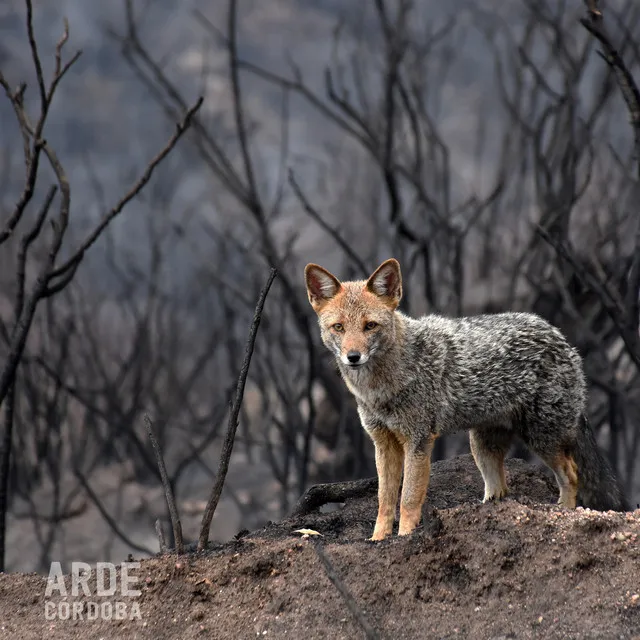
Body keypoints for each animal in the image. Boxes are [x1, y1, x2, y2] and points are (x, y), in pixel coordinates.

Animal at [302, 256, 628, 540]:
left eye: (370, 326)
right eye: (339, 327)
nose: (353, 357)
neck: (381, 388)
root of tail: (559, 335)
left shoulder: (419, 440)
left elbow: (408, 499)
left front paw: (405, 537)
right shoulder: (383, 443)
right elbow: (384, 500)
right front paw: (378, 540)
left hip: (541, 438)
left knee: (571, 474)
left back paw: (564, 513)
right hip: (482, 449)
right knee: (499, 491)